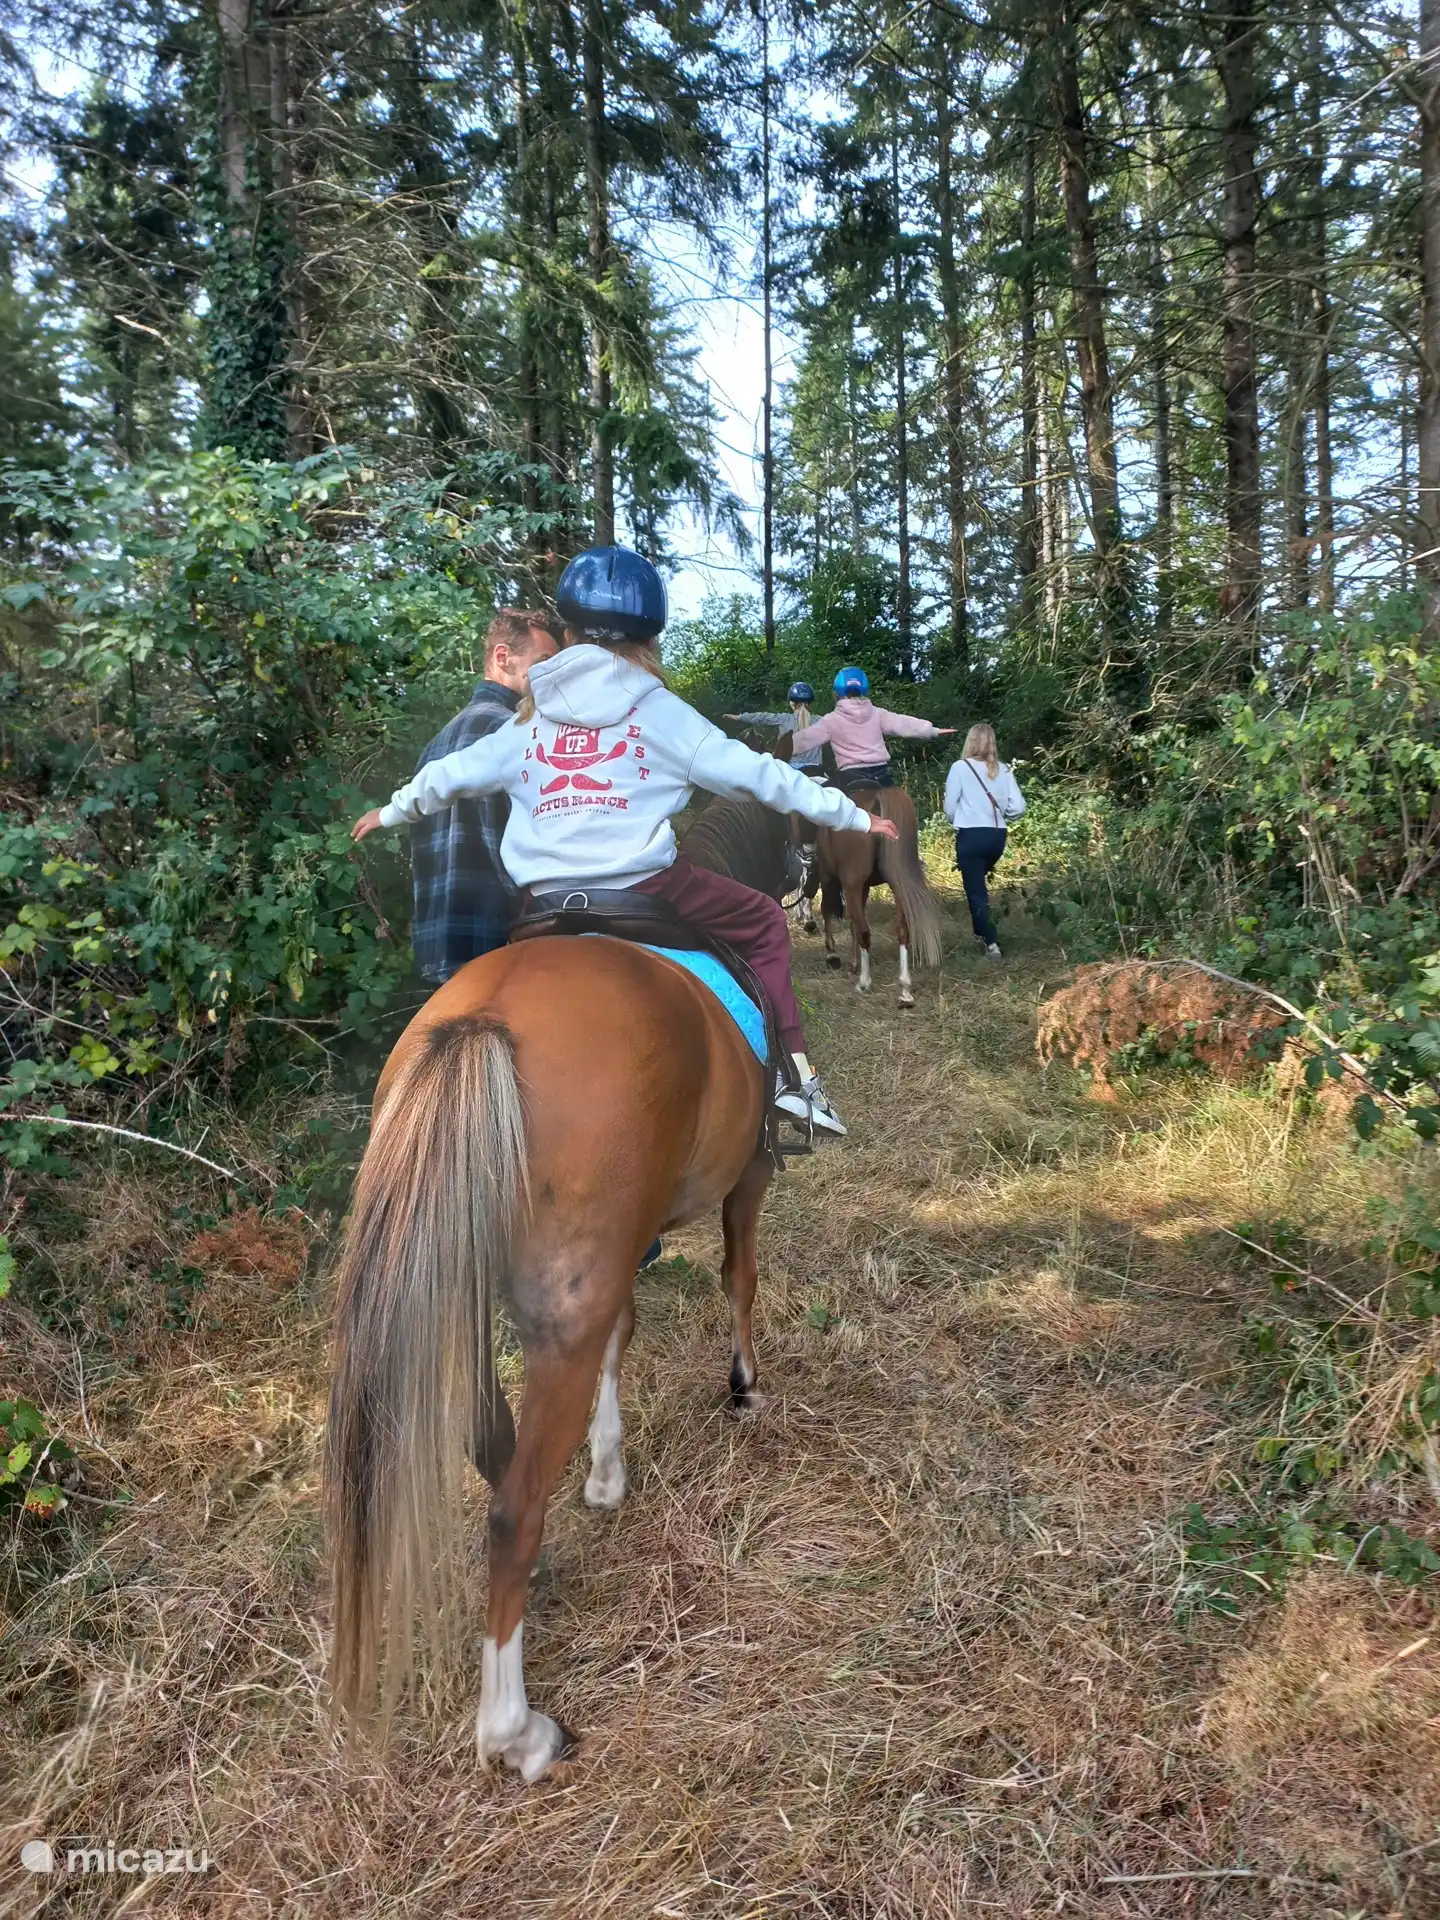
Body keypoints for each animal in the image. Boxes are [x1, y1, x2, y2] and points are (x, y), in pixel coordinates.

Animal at [326, 802, 786, 1782]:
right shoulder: (750, 1175)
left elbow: (623, 1337)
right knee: (510, 1511)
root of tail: (485, 1023)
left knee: (495, 1448)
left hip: (479, 1299)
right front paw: (743, 1386)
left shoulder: (616, 1259)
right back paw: (516, 1732)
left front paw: (608, 1475)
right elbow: (739, 1274)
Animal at [815, 783, 942, 1007]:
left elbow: (828, 910)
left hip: (850, 883)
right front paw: (852, 963)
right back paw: (905, 989)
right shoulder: (863, 886)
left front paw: (833, 955)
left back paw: (864, 982)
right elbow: (853, 924)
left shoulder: (830, 877)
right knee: (902, 930)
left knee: (865, 931)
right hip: (898, 883)